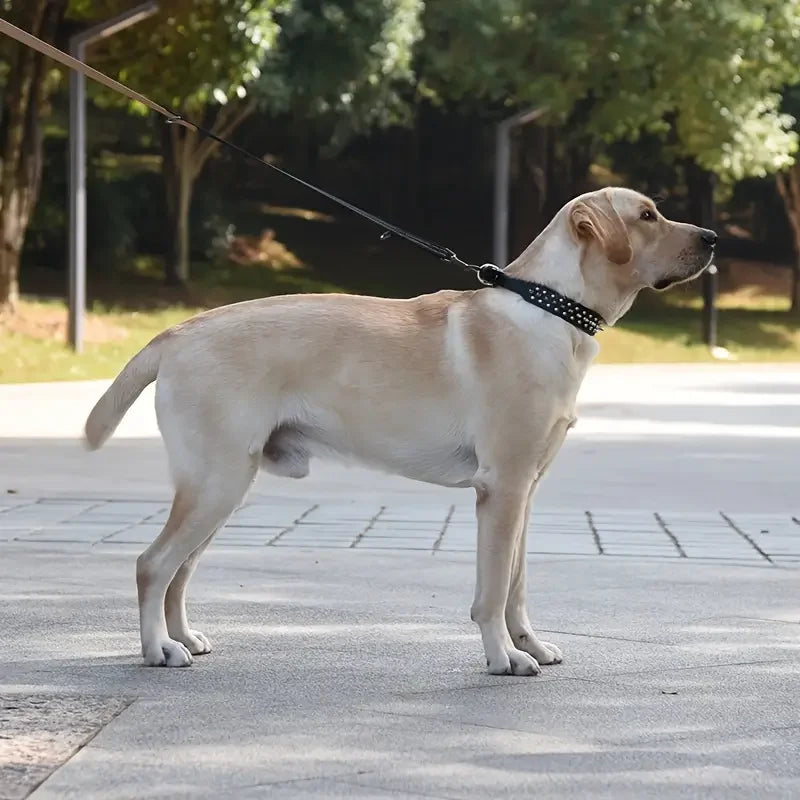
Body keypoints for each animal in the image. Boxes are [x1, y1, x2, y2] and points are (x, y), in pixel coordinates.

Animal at [87, 188, 720, 676]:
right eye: (647, 216)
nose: (713, 237)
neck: (552, 309)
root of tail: (177, 333)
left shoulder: (526, 492)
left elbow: (517, 587)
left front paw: (531, 645)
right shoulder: (502, 489)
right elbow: (493, 591)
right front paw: (504, 657)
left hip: (223, 489)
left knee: (179, 572)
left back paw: (183, 638)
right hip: (216, 483)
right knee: (153, 565)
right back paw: (157, 649)